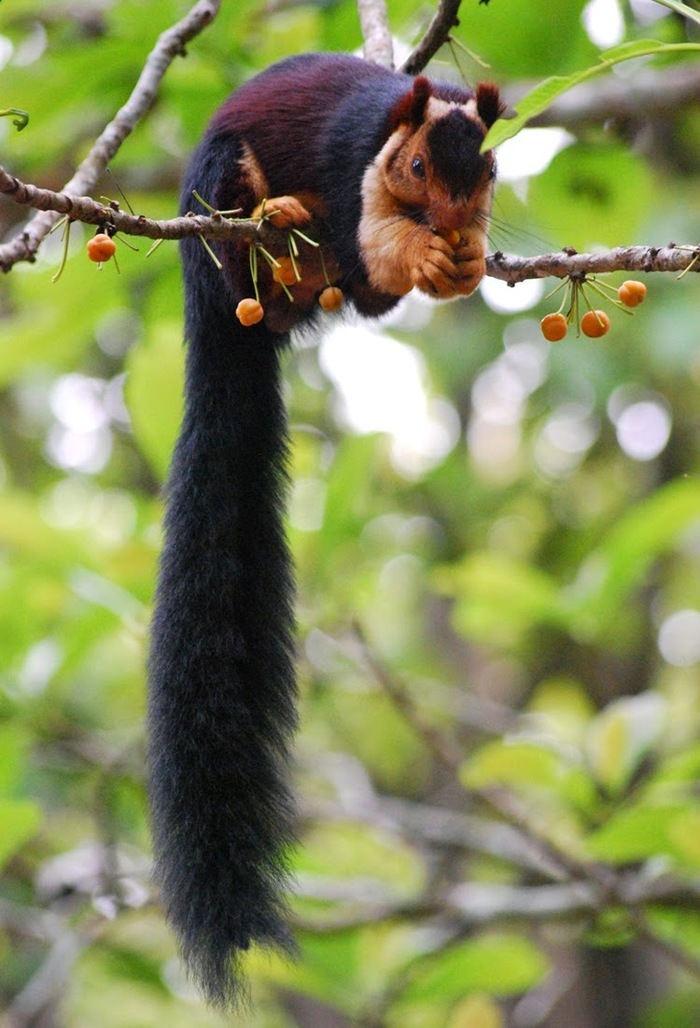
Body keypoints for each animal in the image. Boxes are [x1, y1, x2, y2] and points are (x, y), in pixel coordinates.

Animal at [145, 52, 501, 1007]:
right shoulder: (352, 168)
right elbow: (369, 233)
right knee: (257, 234)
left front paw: (465, 259)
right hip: (218, 199)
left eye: (489, 173)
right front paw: (420, 249)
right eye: (412, 167)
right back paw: (276, 219)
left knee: (354, 298)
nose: (451, 224)